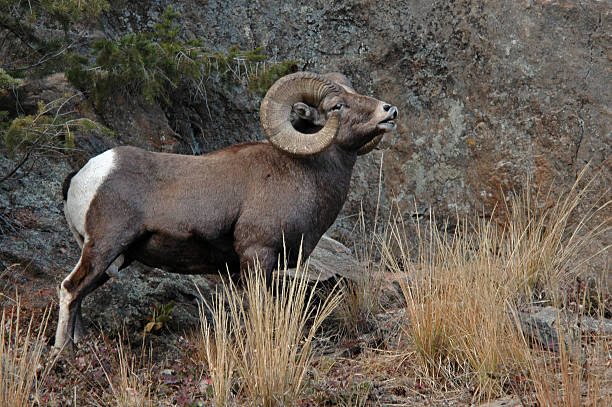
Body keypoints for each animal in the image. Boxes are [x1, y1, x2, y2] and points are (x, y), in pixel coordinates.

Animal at [55, 71, 400, 350]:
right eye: (337, 106)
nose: (389, 110)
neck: (305, 173)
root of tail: (83, 175)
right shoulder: (257, 255)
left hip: (115, 258)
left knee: (80, 296)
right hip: (104, 247)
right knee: (70, 290)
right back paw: (62, 351)